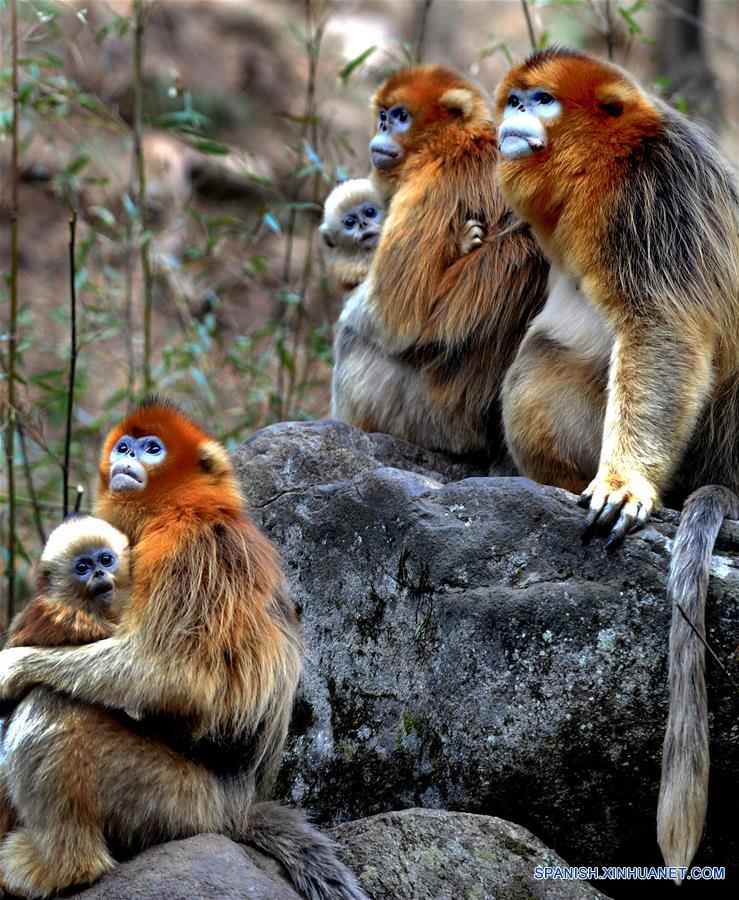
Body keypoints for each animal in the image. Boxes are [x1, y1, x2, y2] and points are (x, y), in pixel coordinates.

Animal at [0, 400, 368, 900]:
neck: (181, 507)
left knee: (53, 706)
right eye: (124, 445)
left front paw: (12, 665)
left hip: (180, 804)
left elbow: (180, 678)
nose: (127, 458)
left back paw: (63, 868)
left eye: (152, 449)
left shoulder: (184, 549)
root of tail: (237, 808)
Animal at [492, 47, 739, 872]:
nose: (511, 117)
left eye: (539, 100)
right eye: (514, 99)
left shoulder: (652, 197)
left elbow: (664, 329)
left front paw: (626, 485)